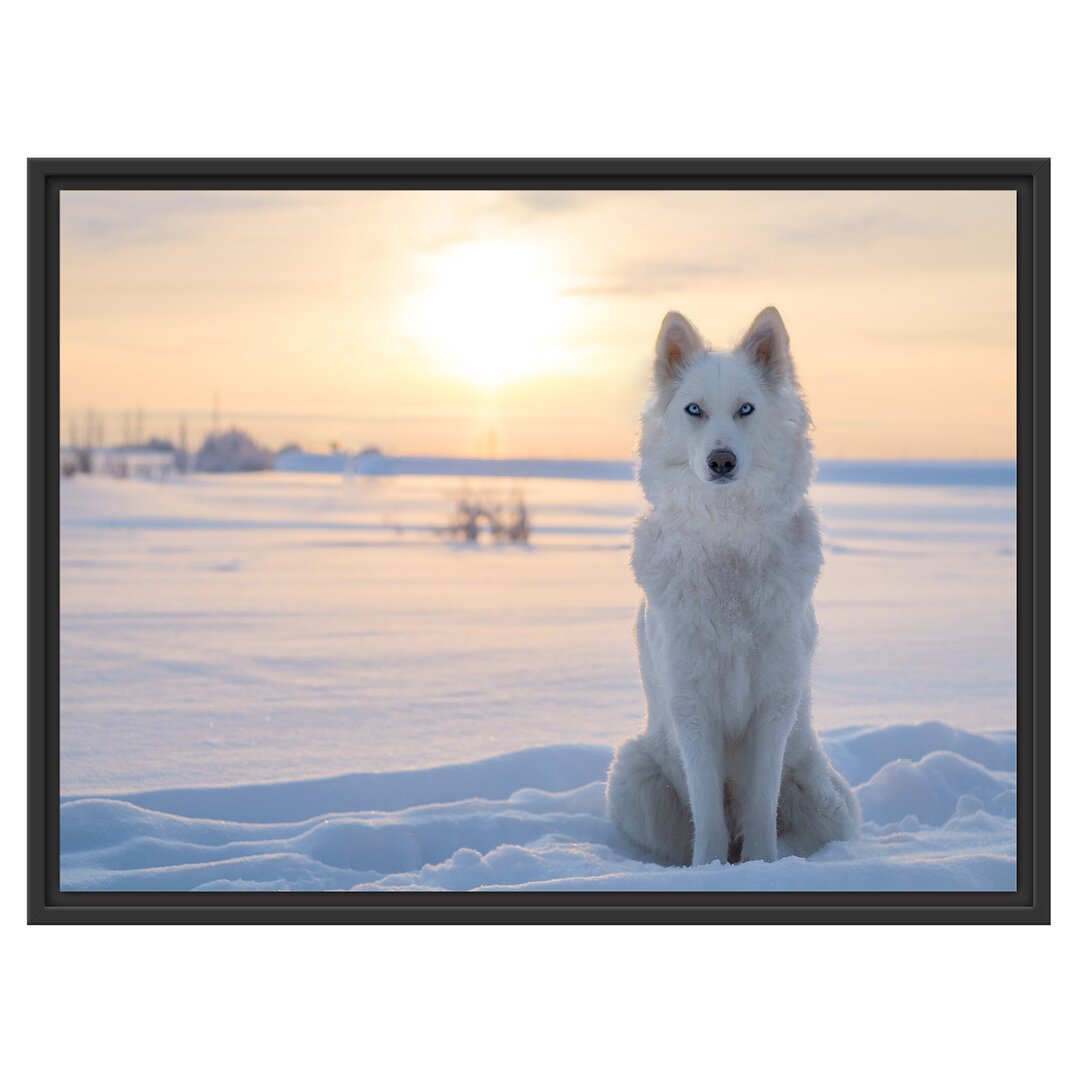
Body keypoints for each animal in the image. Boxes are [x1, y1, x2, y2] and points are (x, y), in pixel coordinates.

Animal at [609, 308, 859, 864]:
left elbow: (762, 804)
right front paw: (710, 868)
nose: (721, 461)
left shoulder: (774, 704)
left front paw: (762, 866)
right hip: (632, 776)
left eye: (746, 409)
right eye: (694, 410)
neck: (728, 545)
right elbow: (708, 813)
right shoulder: (691, 705)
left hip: (826, 798)